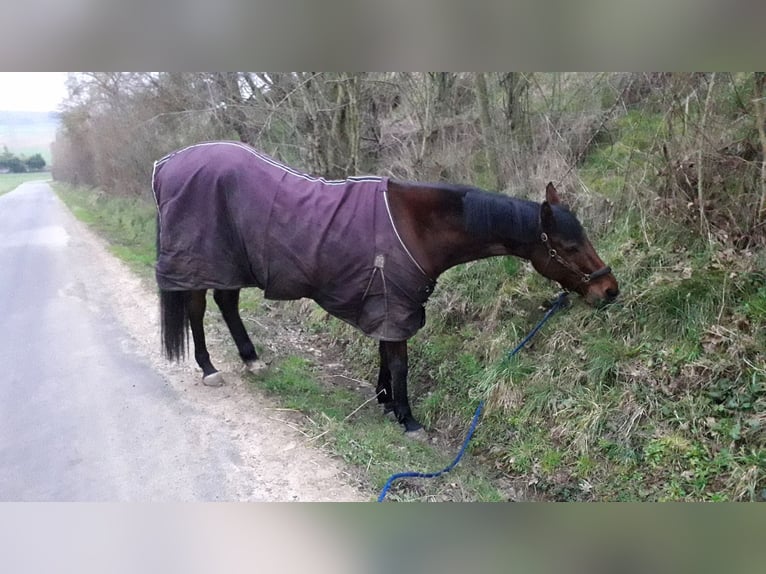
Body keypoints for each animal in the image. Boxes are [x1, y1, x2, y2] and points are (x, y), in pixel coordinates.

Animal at [153, 143, 620, 436]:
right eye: (569, 246)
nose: (610, 290)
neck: (417, 227)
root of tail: (167, 166)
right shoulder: (396, 302)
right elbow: (399, 363)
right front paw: (407, 417)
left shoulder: (386, 299)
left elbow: (384, 352)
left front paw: (385, 401)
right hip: (202, 260)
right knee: (197, 309)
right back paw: (209, 368)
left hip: (230, 263)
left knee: (226, 303)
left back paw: (251, 360)